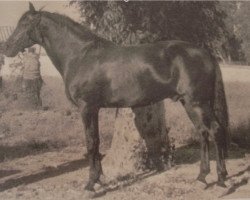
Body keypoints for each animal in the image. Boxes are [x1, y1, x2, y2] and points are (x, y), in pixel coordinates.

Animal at [3, 2, 230, 192]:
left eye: (25, 24)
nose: (6, 48)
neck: (80, 56)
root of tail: (205, 53)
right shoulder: (93, 109)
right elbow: (95, 142)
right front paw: (99, 179)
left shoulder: (87, 108)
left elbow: (91, 142)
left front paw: (91, 184)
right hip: (190, 103)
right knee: (203, 133)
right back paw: (202, 177)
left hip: (197, 103)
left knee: (215, 131)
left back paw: (220, 180)